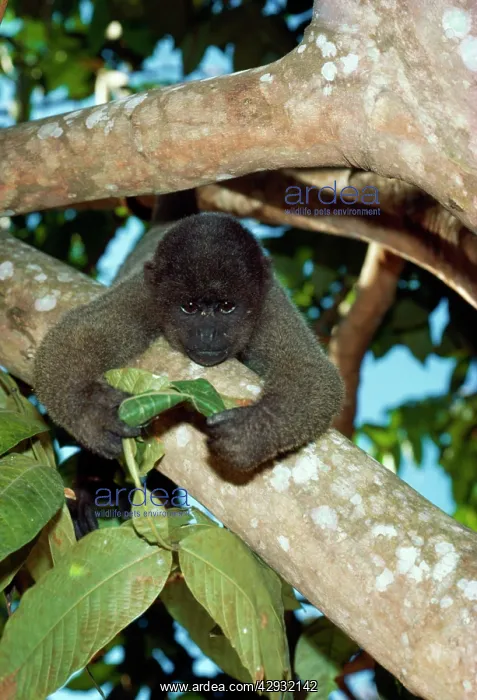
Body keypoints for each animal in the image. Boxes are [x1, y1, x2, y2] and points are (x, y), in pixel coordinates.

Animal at [33, 196, 344, 472]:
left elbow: (311, 370)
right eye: (190, 307)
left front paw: (253, 431)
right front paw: (91, 412)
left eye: (227, 306)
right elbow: (73, 335)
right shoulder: (144, 294)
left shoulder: (270, 305)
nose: (207, 333)